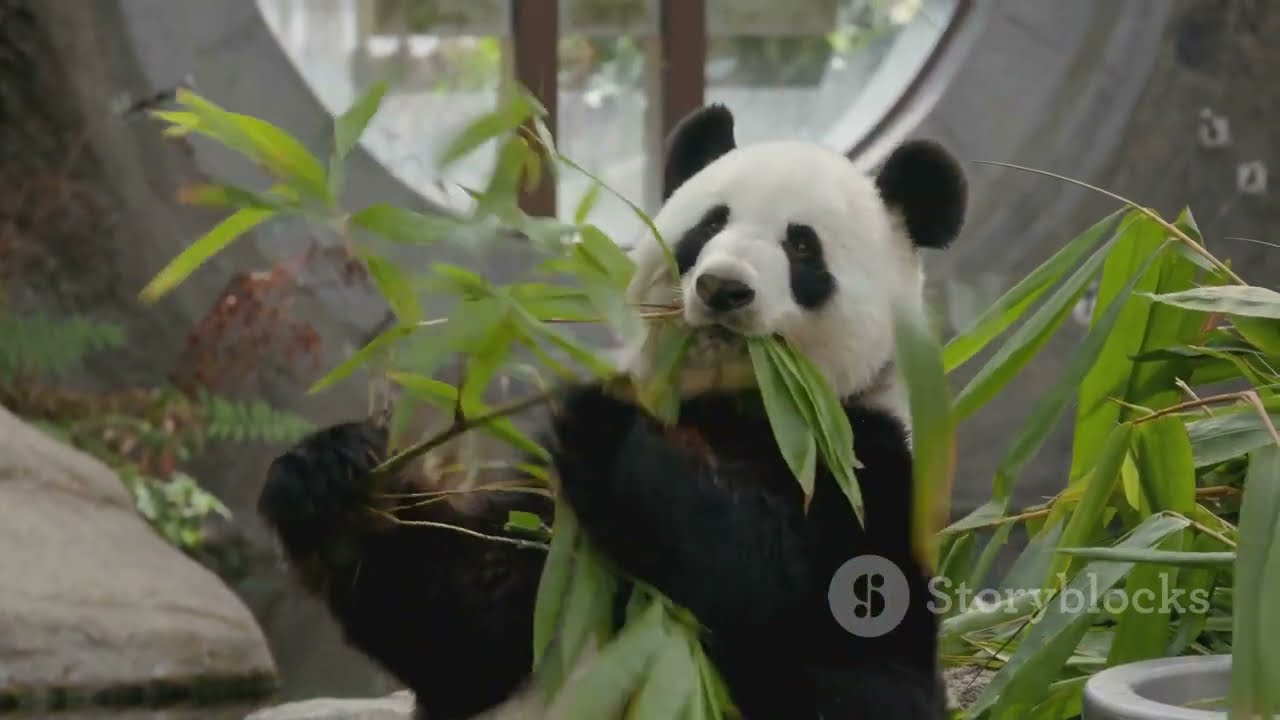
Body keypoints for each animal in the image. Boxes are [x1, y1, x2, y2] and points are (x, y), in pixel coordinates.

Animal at [257, 103, 966, 720]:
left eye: (802, 247)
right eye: (709, 226)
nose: (723, 289)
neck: (730, 400)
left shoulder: (854, 465)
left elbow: (761, 567)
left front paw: (606, 428)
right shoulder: (552, 528)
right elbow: (461, 625)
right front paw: (332, 481)